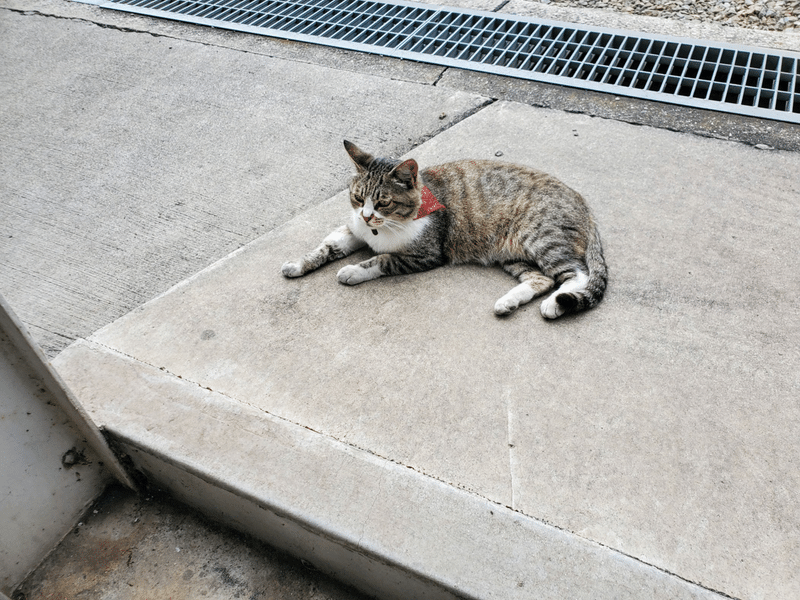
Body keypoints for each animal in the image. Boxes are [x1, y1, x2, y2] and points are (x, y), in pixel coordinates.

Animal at [282, 141, 608, 318]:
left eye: (384, 202)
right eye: (359, 198)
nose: (366, 216)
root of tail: (584, 204)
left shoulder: (425, 255)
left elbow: (381, 259)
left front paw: (352, 270)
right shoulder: (352, 231)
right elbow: (326, 247)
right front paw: (298, 264)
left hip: (540, 238)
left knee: (576, 275)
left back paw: (554, 304)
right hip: (512, 253)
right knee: (541, 279)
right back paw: (508, 302)